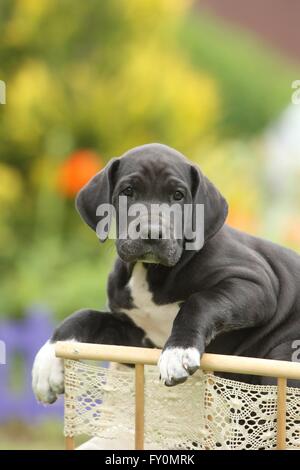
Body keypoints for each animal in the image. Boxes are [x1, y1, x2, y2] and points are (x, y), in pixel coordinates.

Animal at [32, 143, 300, 404]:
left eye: (178, 196)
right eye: (128, 191)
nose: (151, 232)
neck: (149, 271)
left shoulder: (256, 283)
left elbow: (199, 301)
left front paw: (177, 351)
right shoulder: (135, 340)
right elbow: (85, 316)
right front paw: (48, 361)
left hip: (282, 352)